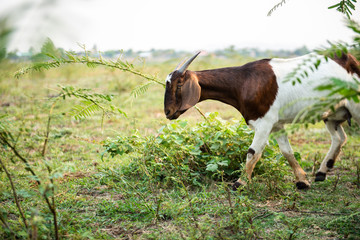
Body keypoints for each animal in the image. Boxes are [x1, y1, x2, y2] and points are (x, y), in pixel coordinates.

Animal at [164, 51, 360, 190]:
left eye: (179, 84)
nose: (168, 112)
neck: (242, 82)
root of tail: (350, 60)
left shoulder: (264, 122)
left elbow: (253, 152)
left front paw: (240, 182)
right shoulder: (277, 124)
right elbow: (287, 152)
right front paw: (302, 181)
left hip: (355, 104)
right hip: (333, 114)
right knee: (339, 138)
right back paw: (321, 172)